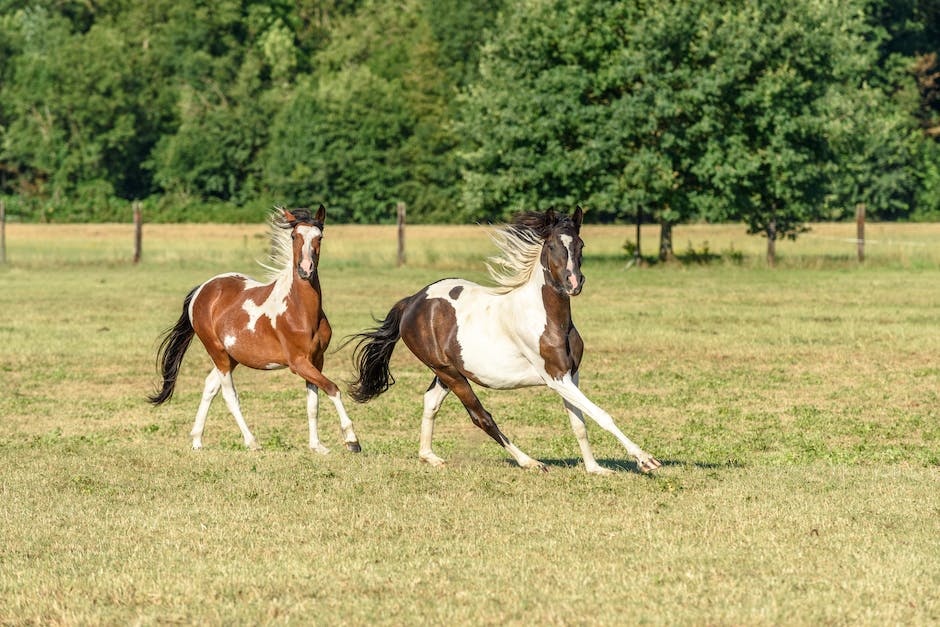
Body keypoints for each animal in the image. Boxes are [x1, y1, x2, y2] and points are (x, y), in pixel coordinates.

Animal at [149, 206, 362, 456]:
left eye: (319, 237)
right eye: (294, 236)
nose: (306, 269)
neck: (301, 311)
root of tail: (203, 289)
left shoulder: (316, 360)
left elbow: (313, 403)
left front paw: (317, 445)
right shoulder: (298, 362)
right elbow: (332, 388)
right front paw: (352, 440)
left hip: (231, 356)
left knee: (210, 386)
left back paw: (197, 441)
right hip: (218, 353)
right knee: (229, 396)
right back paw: (251, 442)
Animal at [348, 209, 664, 474]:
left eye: (580, 245)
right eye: (552, 246)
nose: (573, 283)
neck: (549, 320)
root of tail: (413, 301)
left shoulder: (571, 375)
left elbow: (579, 423)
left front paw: (595, 469)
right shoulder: (555, 378)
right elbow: (601, 414)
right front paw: (646, 460)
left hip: (448, 372)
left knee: (431, 402)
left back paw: (430, 457)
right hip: (449, 373)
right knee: (481, 417)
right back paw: (530, 462)